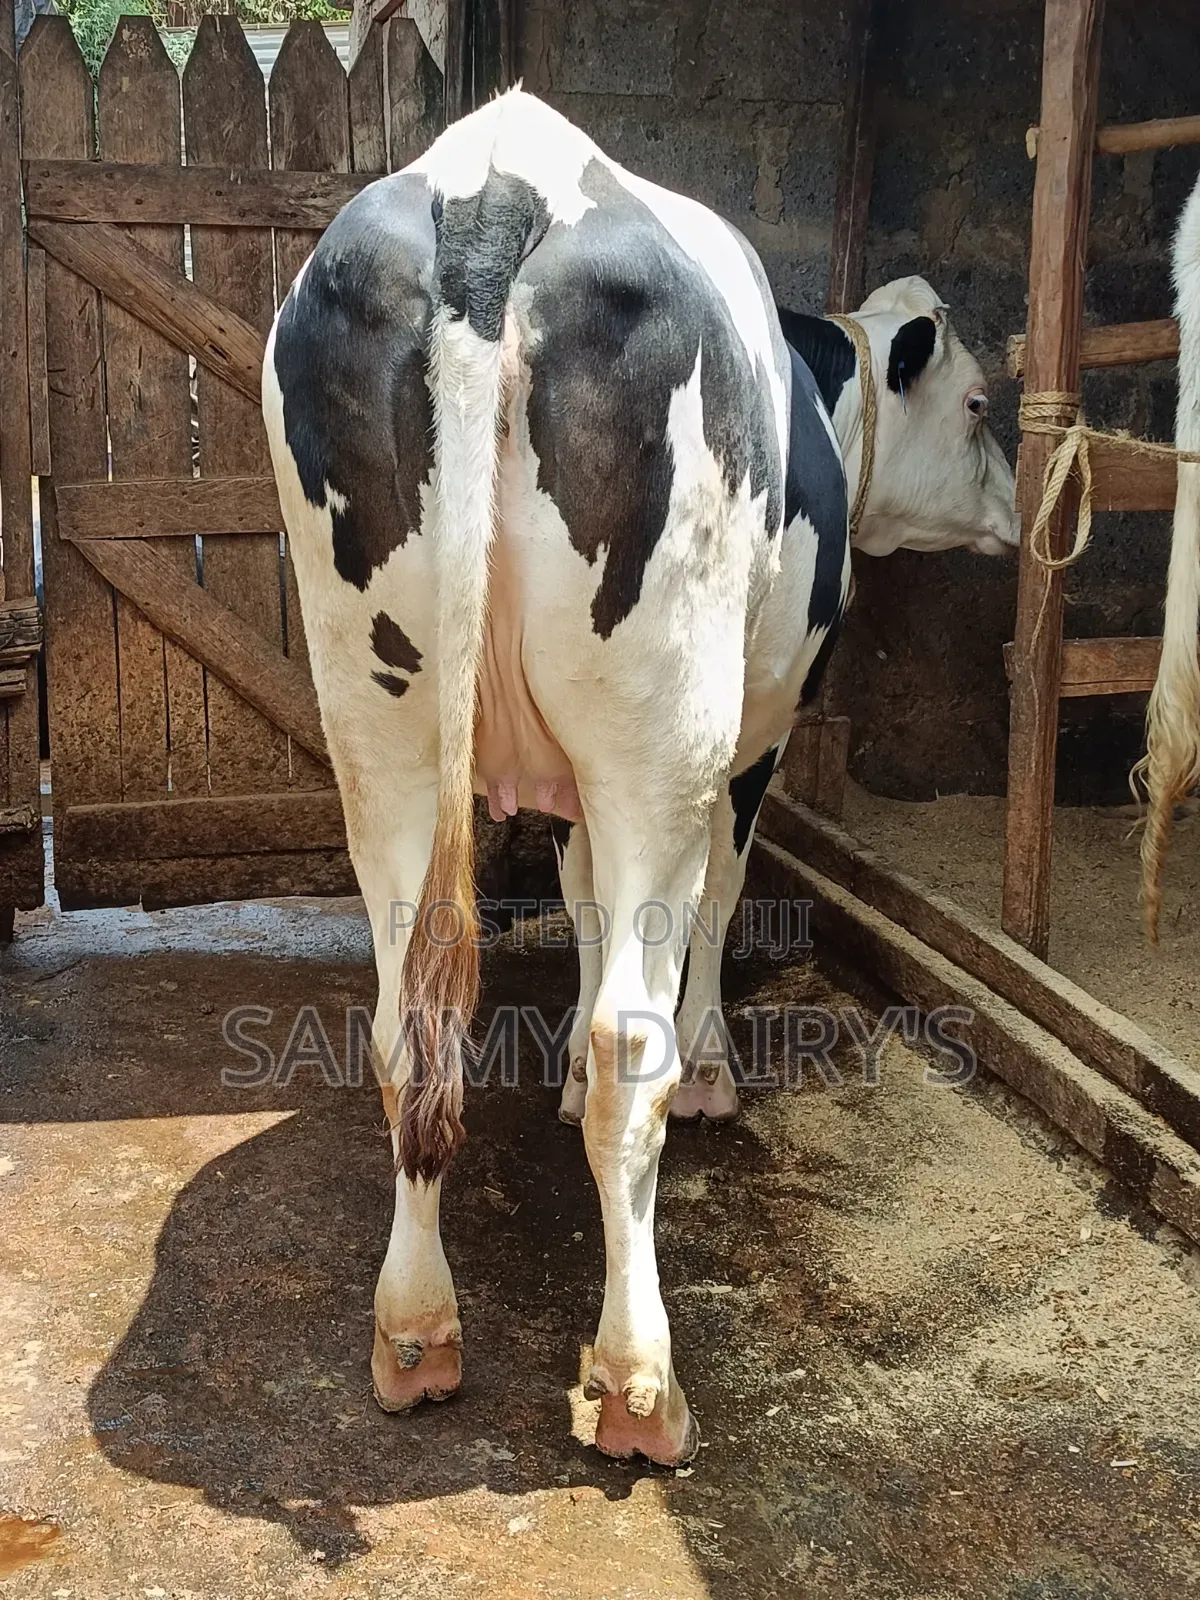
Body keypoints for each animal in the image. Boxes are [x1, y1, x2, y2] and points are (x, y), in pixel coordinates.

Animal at [263, 88, 1018, 1468]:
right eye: (983, 404)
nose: (1025, 513)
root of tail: (494, 184)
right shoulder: (754, 735)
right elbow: (714, 900)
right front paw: (712, 1064)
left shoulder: (563, 787)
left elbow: (578, 905)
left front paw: (555, 1068)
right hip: (659, 727)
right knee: (634, 1043)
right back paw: (637, 1385)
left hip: (376, 723)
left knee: (407, 1023)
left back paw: (416, 1332)